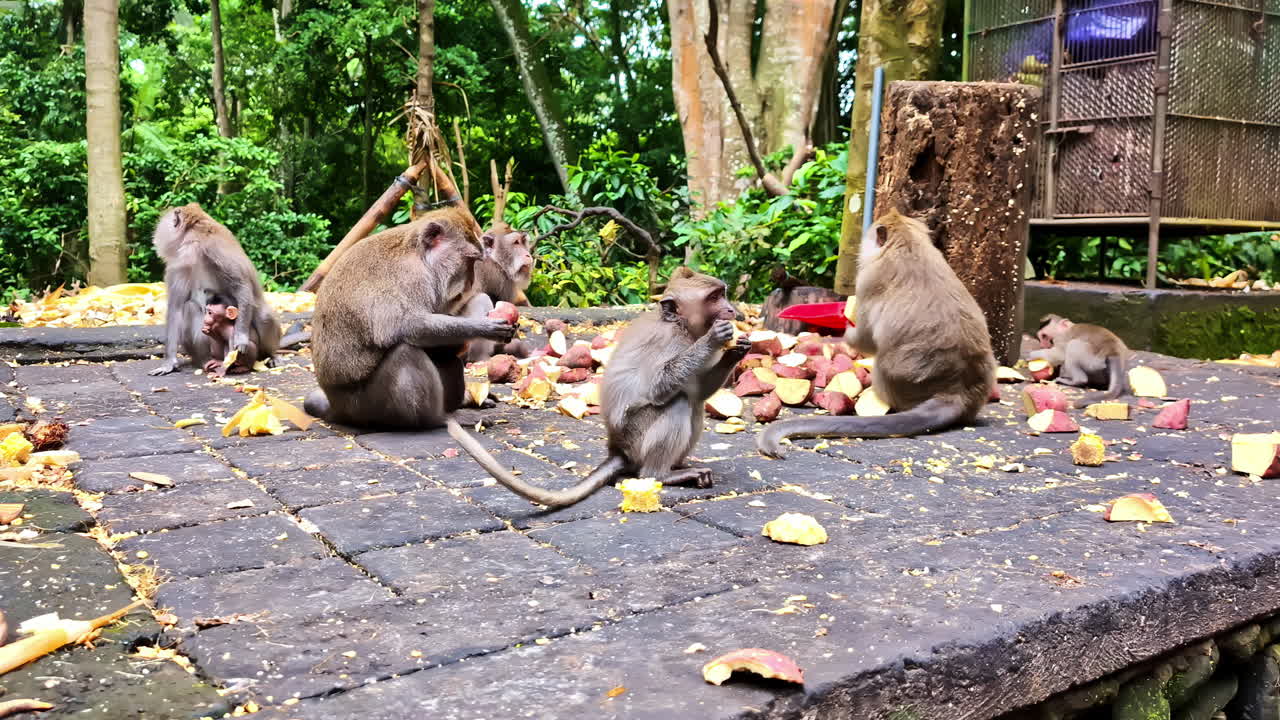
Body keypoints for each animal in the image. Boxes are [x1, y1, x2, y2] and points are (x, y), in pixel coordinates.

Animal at [149, 203, 281, 376]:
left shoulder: (208, 249)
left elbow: (242, 286)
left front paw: (240, 338)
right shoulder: (179, 264)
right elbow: (176, 307)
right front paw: (169, 362)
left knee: (264, 316)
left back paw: (271, 355)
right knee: (189, 308)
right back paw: (206, 362)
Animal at [303, 205, 515, 428]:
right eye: (470, 260)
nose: (470, 283)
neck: (419, 255)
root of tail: (336, 408)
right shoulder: (412, 277)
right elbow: (406, 327)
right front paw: (486, 327)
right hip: (367, 407)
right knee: (405, 352)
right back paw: (440, 419)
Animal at [449, 266, 753, 508]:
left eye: (722, 294)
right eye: (714, 297)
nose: (732, 310)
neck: (682, 327)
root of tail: (617, 449)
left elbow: (699, 391)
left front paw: (737, 350)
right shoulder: (668, 341)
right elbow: (659, 387)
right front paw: (714, 338)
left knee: (694, 404)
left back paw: (677, 464)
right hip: (636, 437)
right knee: (677, 403)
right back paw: (661, 474)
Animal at [757, 211, 996, 458]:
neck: (908, 243)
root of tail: (955, 393)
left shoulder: (866, 281)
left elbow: (864, 339)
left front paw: (845, 324)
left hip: (891, 383)